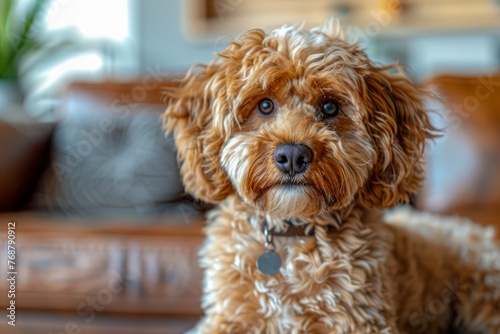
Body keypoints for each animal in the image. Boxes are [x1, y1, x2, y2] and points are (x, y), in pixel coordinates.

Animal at [164, 22, 500, 332]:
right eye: (265, 105)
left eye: (329, 106)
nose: (292, 156)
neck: (291, 236)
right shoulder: (226, 318)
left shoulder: (361, 320)